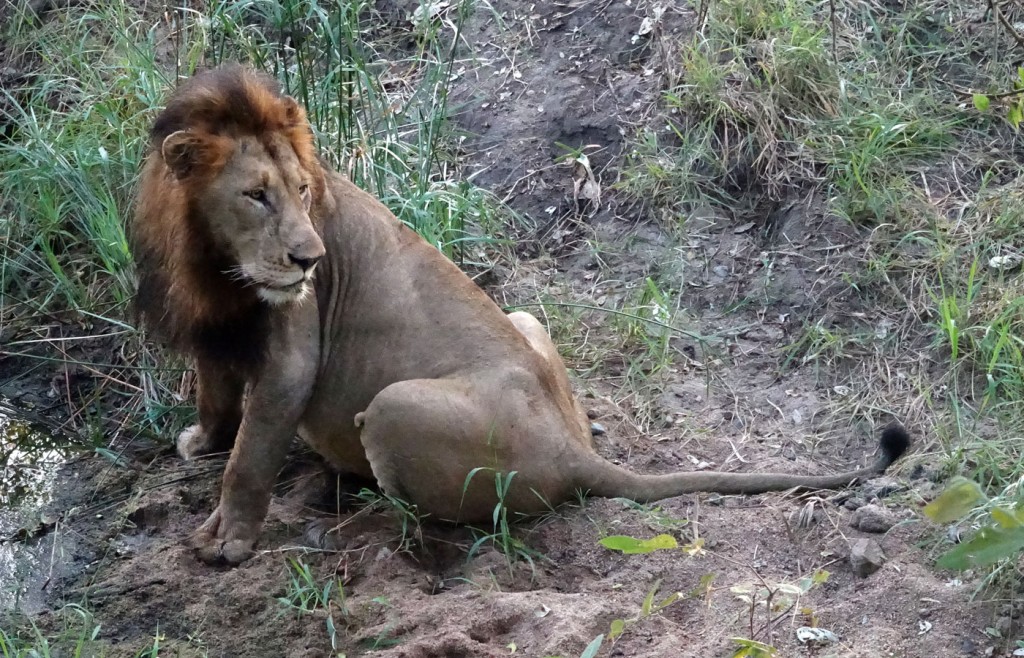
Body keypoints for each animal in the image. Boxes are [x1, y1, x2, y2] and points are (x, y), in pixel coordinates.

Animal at [132, 67, 909, 564]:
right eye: (255, 194)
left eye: (299, 189)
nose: (309, 258)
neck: (210, 259)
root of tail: (571, 450)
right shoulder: (209, 325)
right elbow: (215, 395)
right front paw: (201, 441)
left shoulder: (293, 353)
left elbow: (251, 457)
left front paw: (227, 541)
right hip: (525, 314)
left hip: (393, 406)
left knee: (425, 514)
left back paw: (343, 503)